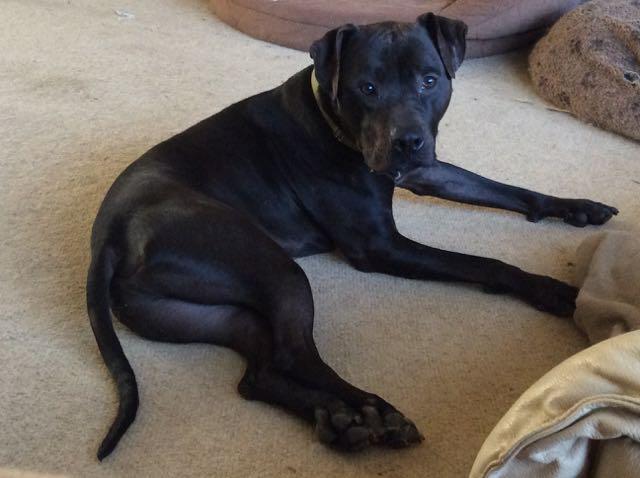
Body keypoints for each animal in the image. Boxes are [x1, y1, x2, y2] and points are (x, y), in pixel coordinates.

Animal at [87, 14, 616, 462]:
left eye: (430, 80)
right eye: (368, 88)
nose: (407, 141)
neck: (331, 119)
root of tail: (106, 236)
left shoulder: (427, 171)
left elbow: (500, 188)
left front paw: (575, 207)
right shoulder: (380, 246)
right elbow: (482, 263)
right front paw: (549, 288)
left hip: (207, 314)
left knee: (259, 375)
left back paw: (338, 422)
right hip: (272, 266)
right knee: (293, 353)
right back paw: (372, 410)